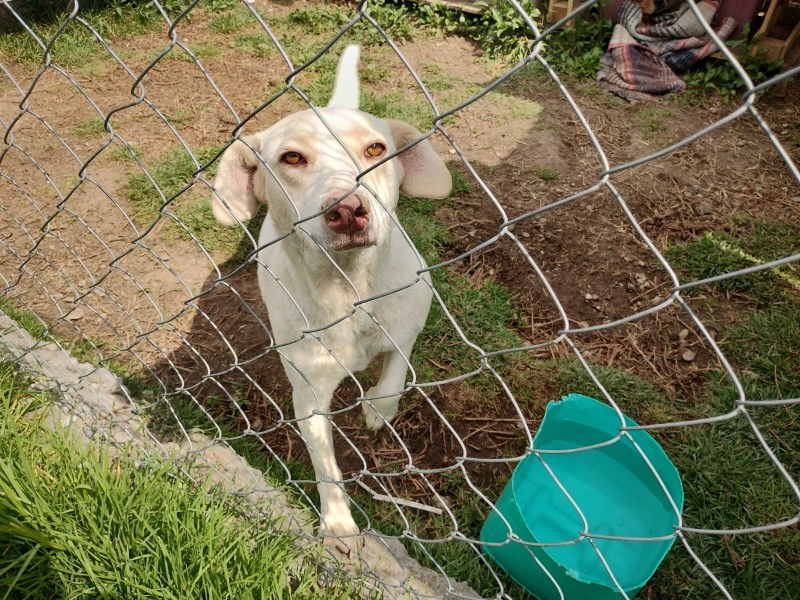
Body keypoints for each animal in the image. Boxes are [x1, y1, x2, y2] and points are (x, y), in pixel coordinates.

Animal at [209, 45, 454, 552]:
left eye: (376, 149)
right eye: (292, 157)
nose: (348, 209)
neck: (349, 290)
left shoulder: (413, 312)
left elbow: (397, 364)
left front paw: (379, 406)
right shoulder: (308, 396)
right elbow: (325, 464)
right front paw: (338, 522)